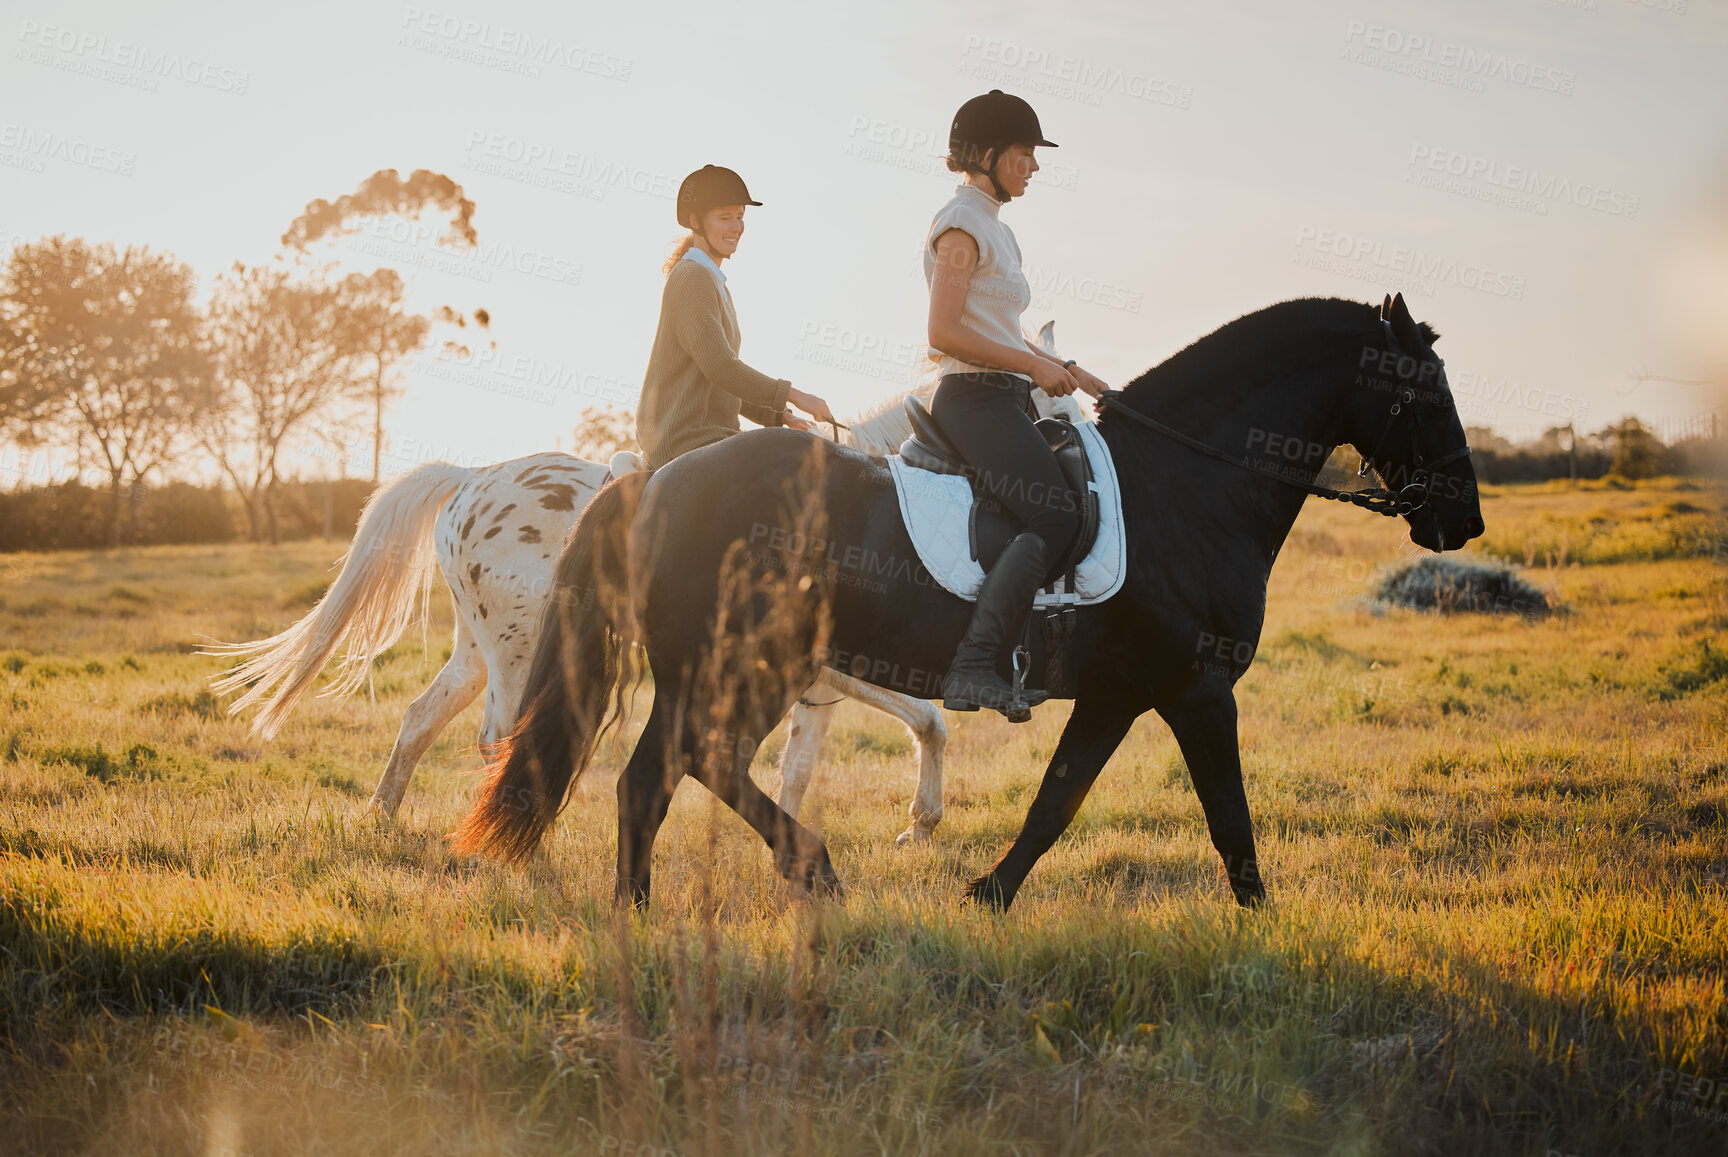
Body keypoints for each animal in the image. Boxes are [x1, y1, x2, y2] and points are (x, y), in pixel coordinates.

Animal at [206, 361, 1078, 843]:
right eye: (1049, 409)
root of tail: (470, 479)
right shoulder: (846, 671)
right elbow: (930, 722)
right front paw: (918, 822)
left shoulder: (818, 689)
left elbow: (800, 769)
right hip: (522, 651)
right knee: (501, 737)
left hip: (477, 648)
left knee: (422, 719)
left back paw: (383, 819)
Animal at [452, 294, 1482, 910]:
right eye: (1426, 392)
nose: (1463, 520)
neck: (1188, 487)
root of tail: (653, 482)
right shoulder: (1197, 691)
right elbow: (1229, 816)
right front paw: (1262, 924)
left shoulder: (1120, 693)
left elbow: (1057, 801)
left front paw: (988, 894)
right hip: (746, 663)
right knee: (681, 765)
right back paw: (800, 870)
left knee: (662, 774)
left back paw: (659, 905)